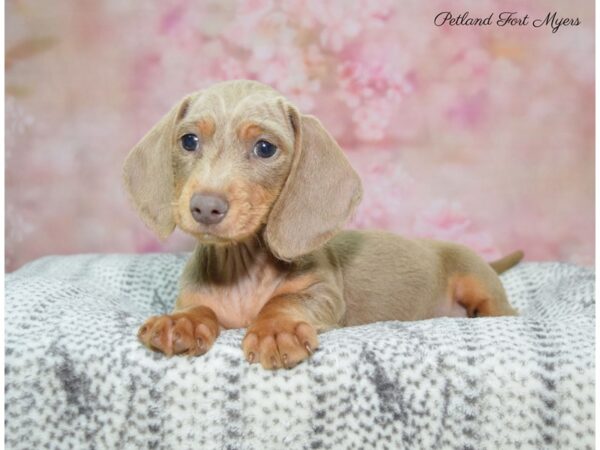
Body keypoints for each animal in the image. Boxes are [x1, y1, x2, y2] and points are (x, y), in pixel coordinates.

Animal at [124, 80, 524, 370]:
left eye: (265, 148)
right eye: (189, 141)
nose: (206, 207)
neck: (242, 269)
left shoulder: (326, 294)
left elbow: (286, 300)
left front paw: (275, 330)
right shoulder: (193, 296)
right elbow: (196, 308)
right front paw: (181, 322)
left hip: (480, 285)